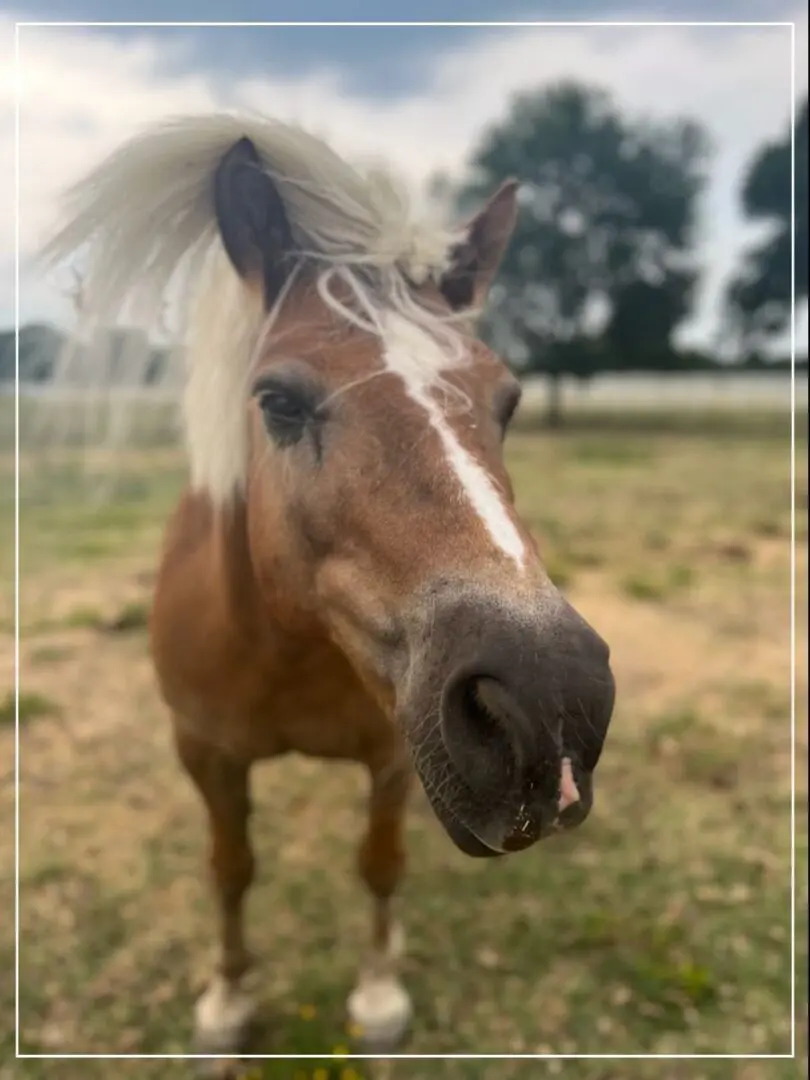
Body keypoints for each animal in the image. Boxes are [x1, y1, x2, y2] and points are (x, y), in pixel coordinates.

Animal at [39, 113, 613, 1058]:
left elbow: (379, 864)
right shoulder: (204, 751)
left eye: (510, 401)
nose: (548, 704)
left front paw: (378, 996)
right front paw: (227, 1000)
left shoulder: (393, 756)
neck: (284, 646)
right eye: (276, 401)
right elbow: (231, 869)